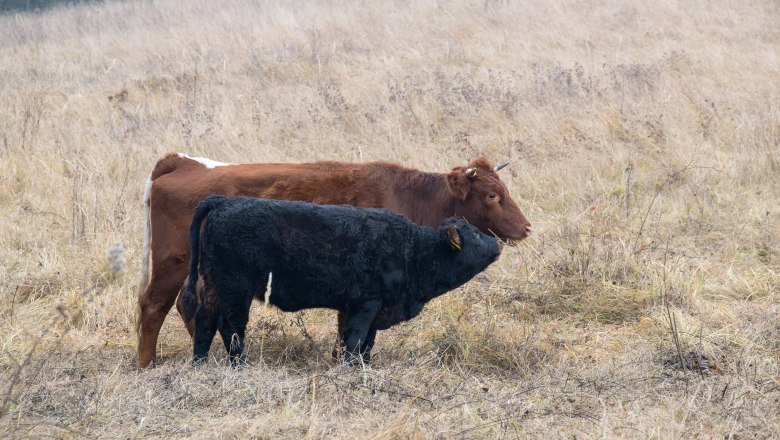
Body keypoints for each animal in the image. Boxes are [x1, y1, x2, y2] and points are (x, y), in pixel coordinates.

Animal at [181, 196, 503, 365]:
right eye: (475, 236)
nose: (498, 244)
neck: (411, 250)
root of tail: (225, 201)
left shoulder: (371, 310)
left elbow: (367, 344)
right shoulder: (366, 304)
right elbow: (355, 340)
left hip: (215, 287)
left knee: (205, 322)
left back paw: (200, 362)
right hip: (236, 289)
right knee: (231, 327)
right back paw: (239, 365)